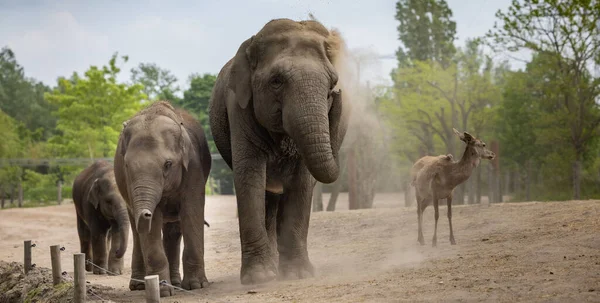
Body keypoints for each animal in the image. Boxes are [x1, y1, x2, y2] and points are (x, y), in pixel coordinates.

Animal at [115, 101, 213, 298]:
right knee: (137, 232)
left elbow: (192, 211)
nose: (145, 213)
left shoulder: (193, 168)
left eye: (168, 164)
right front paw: (163, 291)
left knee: (173, 230)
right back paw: (140, 285)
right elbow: (152, 225)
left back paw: (176, 284)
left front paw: (197, 285)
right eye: (126, 165)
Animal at [210, 18, 352, 284]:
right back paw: (272, 270)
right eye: (276, 81)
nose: (338, 93)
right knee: (268, 196)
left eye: (331, 84)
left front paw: (298, 274)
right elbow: (250, 177)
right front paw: (259, 278)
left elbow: (303, 182)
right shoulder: (238, 107)